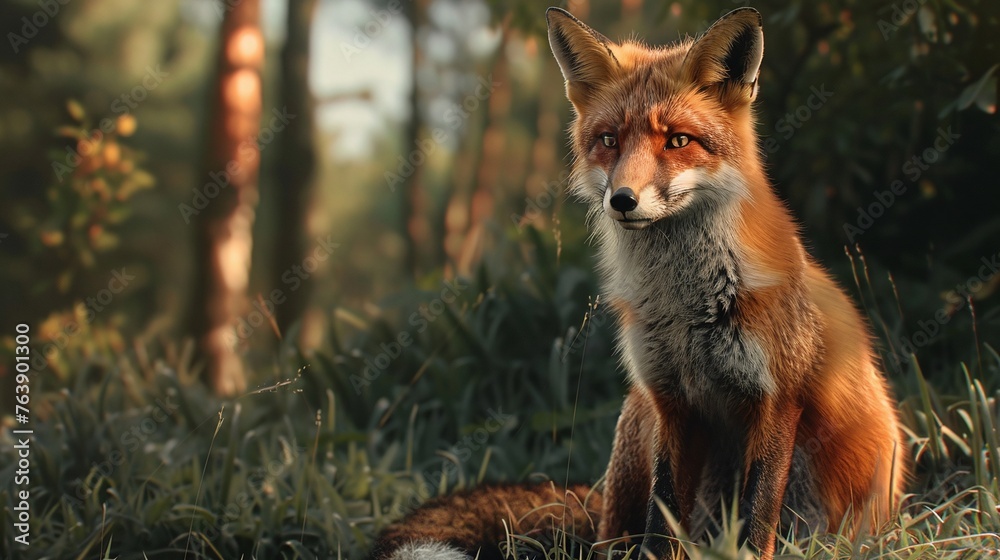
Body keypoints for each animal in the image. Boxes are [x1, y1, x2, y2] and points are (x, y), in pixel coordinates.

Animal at [369, 7, 907, 560]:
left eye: (678, 140)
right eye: (609, 140)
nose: (622, 200)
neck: (689, 308)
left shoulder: (775, 399)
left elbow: (757, 522)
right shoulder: (670, 401)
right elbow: (660, 522)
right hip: (636, 417)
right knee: (615, 536)